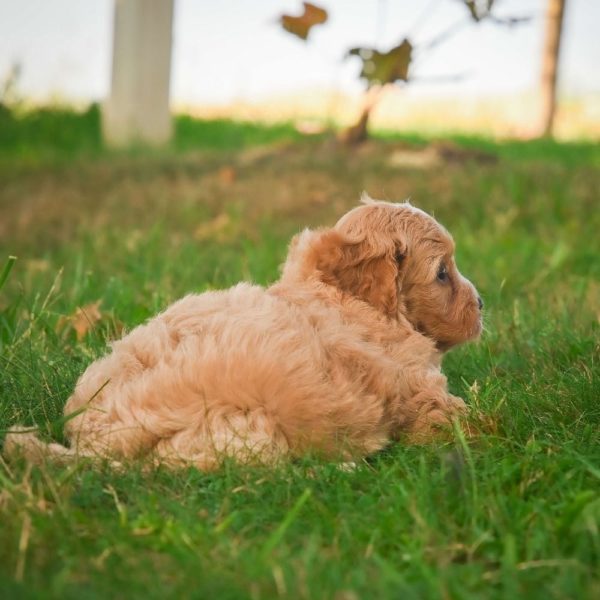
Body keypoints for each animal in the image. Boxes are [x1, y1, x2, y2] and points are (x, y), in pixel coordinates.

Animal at [4, 197, 482, 468]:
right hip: (251, 437)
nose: (481, 304)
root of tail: (99, 445)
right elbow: (470, 418)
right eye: (443, 274)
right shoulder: (422, 393)